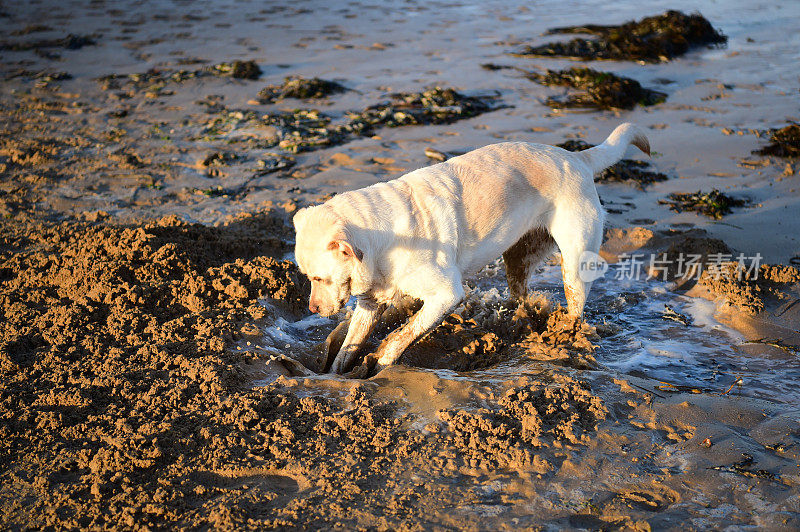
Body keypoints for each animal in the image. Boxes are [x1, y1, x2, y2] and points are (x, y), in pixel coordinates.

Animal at [294, 124, 648, 374]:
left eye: (320, 278)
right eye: (306, 277)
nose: (312, 308)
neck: (380, 240)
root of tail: (577, 158)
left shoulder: (447, 294)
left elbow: (404, 333)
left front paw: (379, 362)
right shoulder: (370, 302)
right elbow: (349, 346)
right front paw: (335, 376)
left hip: (575, 260)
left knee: (575, 301)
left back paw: (566, 335)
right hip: (518, 255)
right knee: (519, 291)